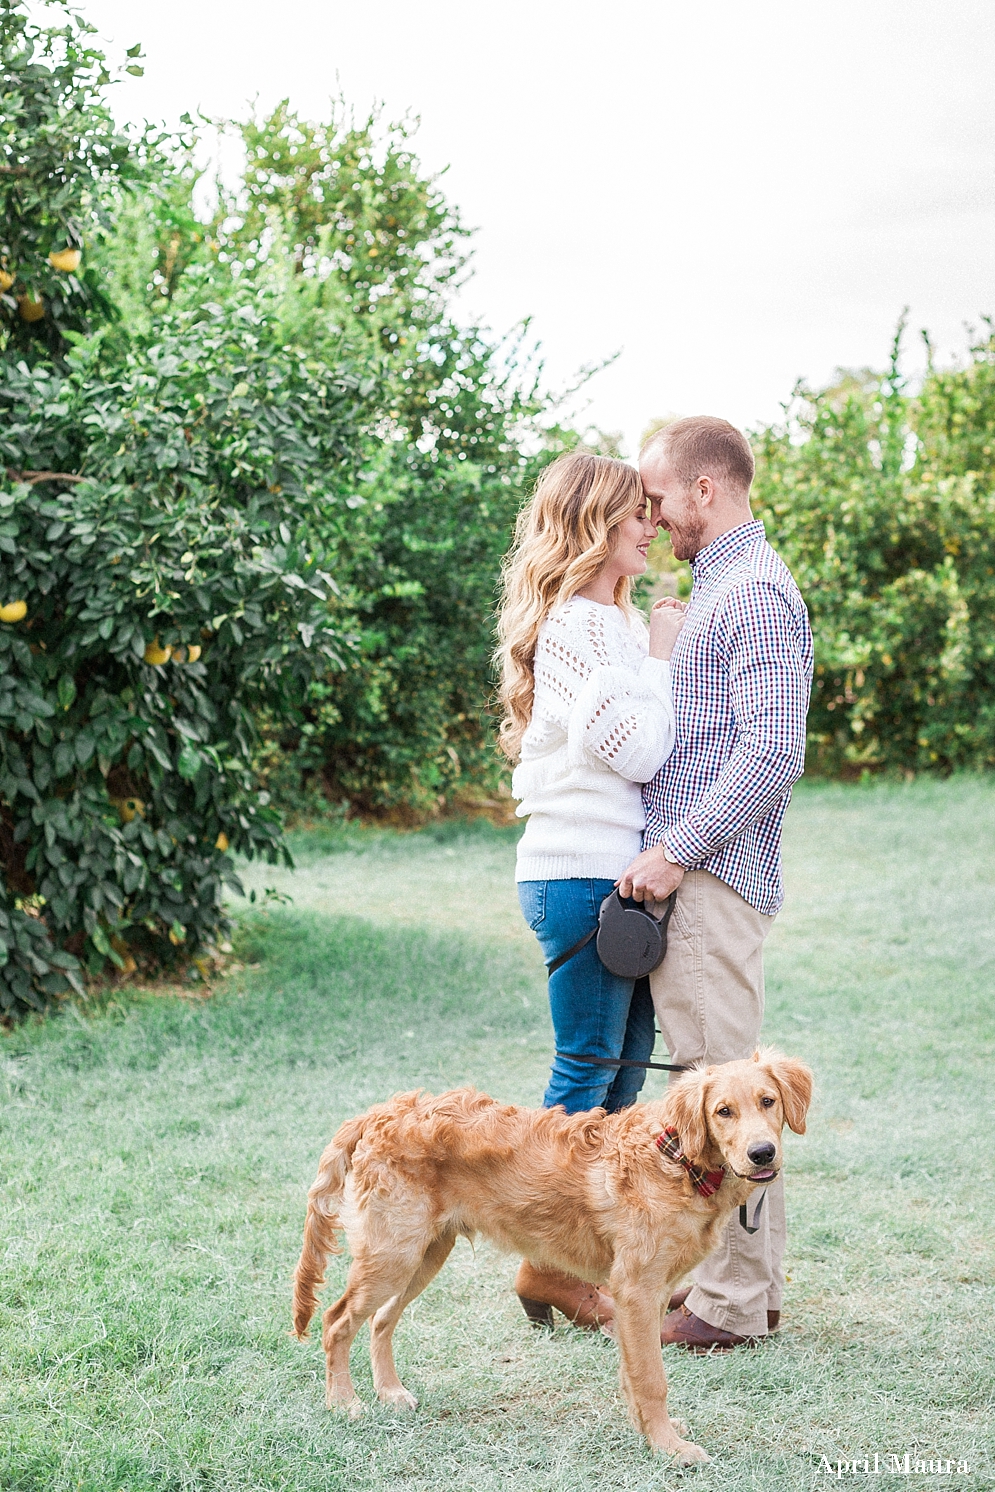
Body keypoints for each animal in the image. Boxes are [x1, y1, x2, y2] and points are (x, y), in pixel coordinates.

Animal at [292, 1056, 811, 1462]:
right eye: (723, 1111)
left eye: (768, 1101)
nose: (762, 1153)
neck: (676, 1158)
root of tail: (383, 1112)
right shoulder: (638, 1292)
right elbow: (651, 1379)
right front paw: (669, 1449)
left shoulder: (649, 1296)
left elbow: (633, 1375)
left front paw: (649, 1433)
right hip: (393, 1254)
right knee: (337, 1321)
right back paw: (344, 1403)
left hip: (423, 1254)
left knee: (380, 1320)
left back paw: (390, 1393)